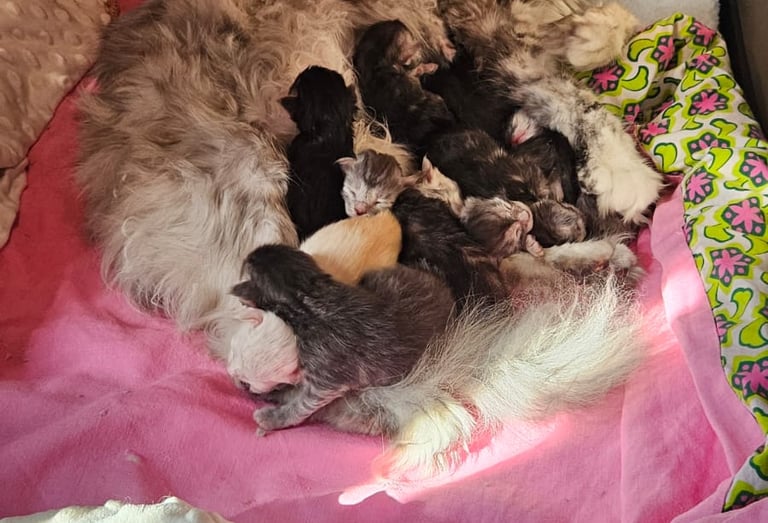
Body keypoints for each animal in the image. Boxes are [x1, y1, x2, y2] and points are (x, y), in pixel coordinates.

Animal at [231, 244, 454, 434]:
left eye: (252, 268)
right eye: (280, 247)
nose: (253, 252)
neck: (312, 299)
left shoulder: (326, 377)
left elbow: (302, 404)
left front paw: (273, 418)